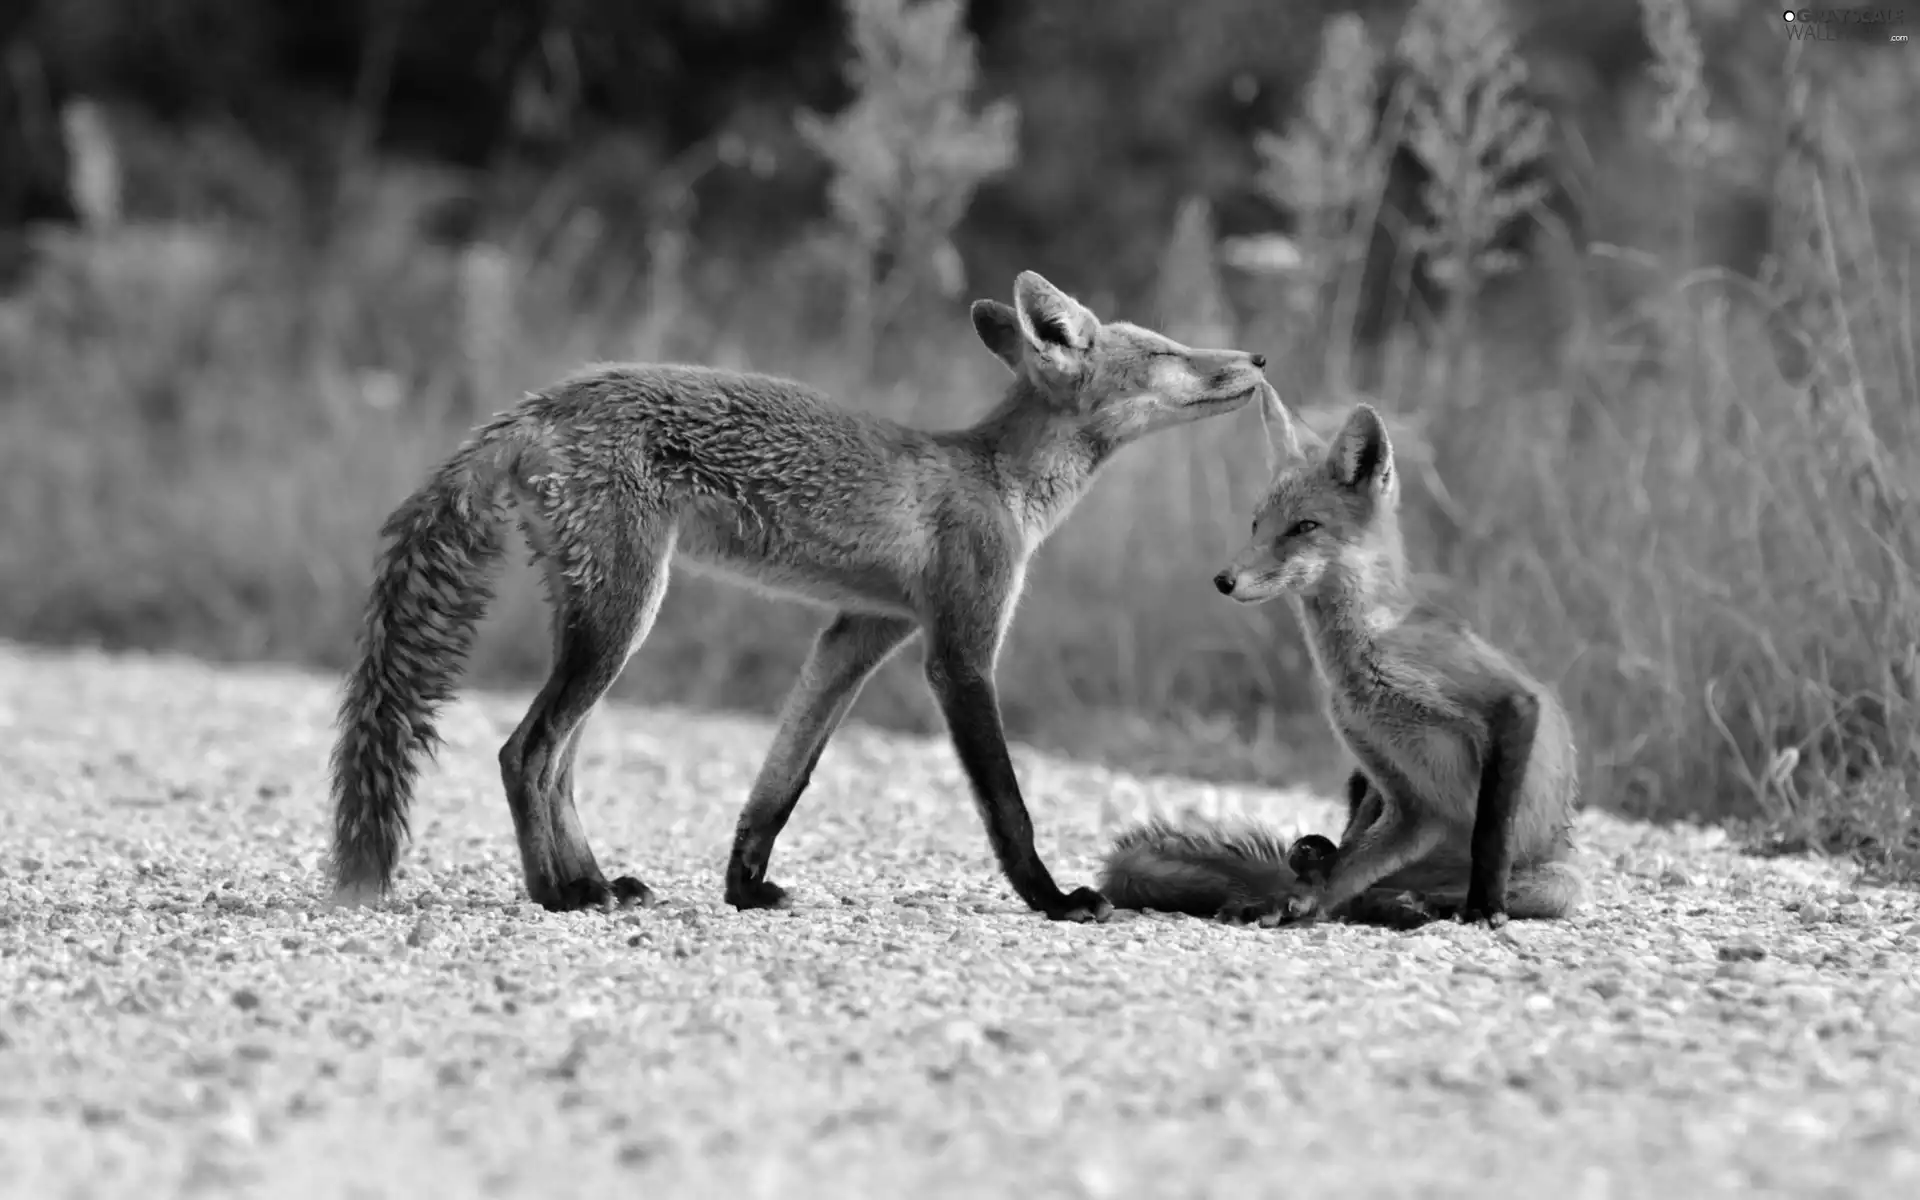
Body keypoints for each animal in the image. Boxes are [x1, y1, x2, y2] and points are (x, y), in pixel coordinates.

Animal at [322, 270, 1267, 921]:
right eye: (1168, 353)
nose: (1258, 357)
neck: (998, 480)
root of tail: (542, 403)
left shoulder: (860, 632)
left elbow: (781, 780)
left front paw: (745, 886)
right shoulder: (959, 649)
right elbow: (1008, 804)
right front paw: (1055, 899)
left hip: (596, 619)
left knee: (555, 763)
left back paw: (586, 879)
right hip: (622, 616)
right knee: (525, 753)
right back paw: (563, 895)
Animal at [1105, 387, 1582, 933]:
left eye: (1304, 527)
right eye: (1256, 524)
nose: (1224, 580)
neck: (1364, 655)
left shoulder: (1507, 702)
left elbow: (1490, 833)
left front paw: (1486, 906)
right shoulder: (1406, 798)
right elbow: (1339, 869)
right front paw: (1288, 901)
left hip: (1558, 884)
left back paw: (1422, 904)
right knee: (1346, 888)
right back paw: (1379, 903)